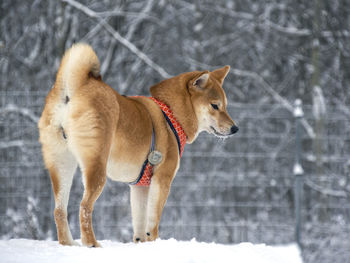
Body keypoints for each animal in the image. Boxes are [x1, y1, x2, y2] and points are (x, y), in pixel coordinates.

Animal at [38, 43, 238, 248]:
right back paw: (91, 243)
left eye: (225, 105)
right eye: (215, 106)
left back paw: (68, 243)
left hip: (62, 166)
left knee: (59, 210)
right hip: (96, 168)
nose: (235, 128)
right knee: (84, 207)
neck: (171, 114)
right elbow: (153, 222)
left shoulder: (140, 187)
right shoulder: (162, 179)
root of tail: (75, 89)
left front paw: (141, 244)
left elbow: (140, 224)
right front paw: (154, 242)